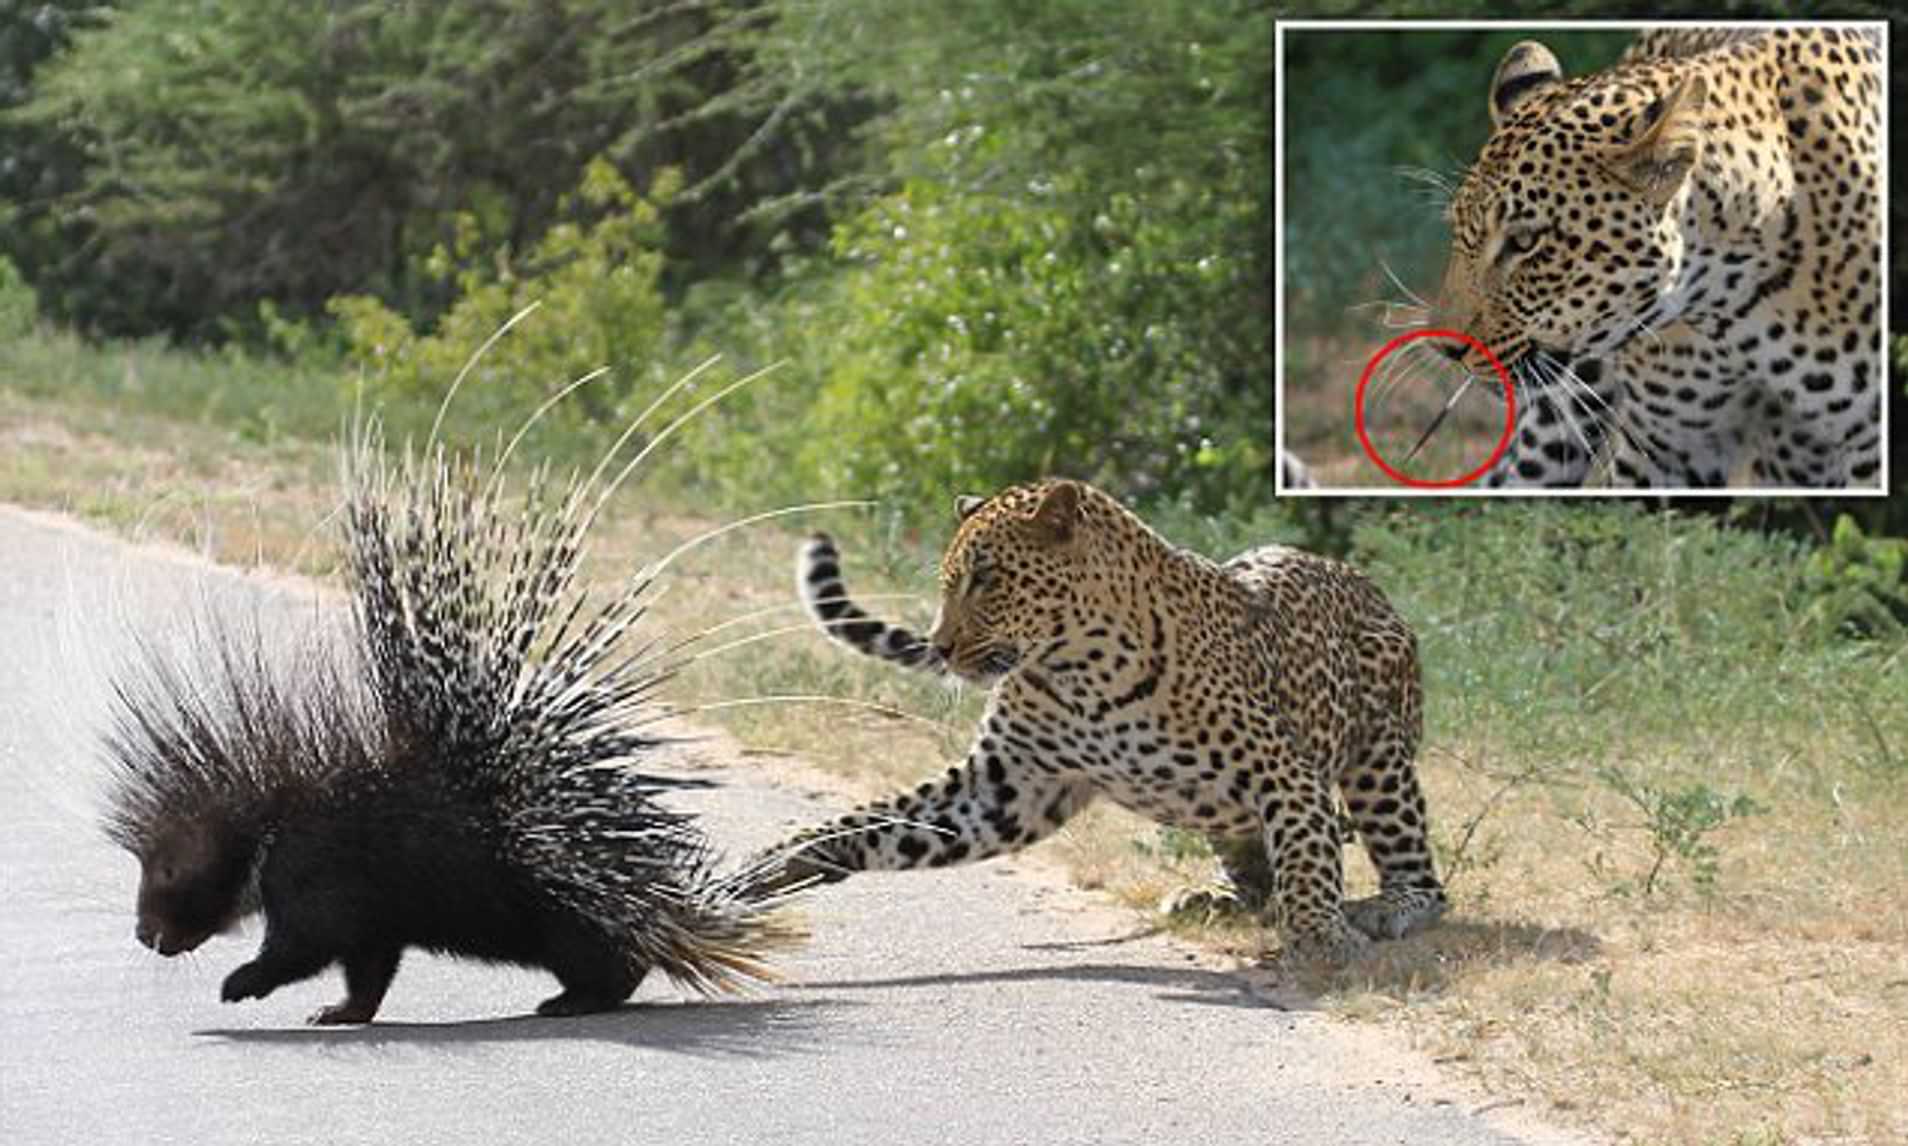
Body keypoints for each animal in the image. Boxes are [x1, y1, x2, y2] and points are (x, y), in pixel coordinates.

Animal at [754, 478, 1446, 962]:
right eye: (951, 582)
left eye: (987, 579)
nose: (941, 646)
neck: (1078, 667)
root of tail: (1366, 583)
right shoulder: (1007, 785)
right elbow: (879, 821)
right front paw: (782, 861)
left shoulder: (1285, 772)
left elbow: (1307, 855)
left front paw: (1322, 938)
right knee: (1253, 863)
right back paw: (1215, 897)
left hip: (1379, 751)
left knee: (1422, 875)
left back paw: (1391, 906)